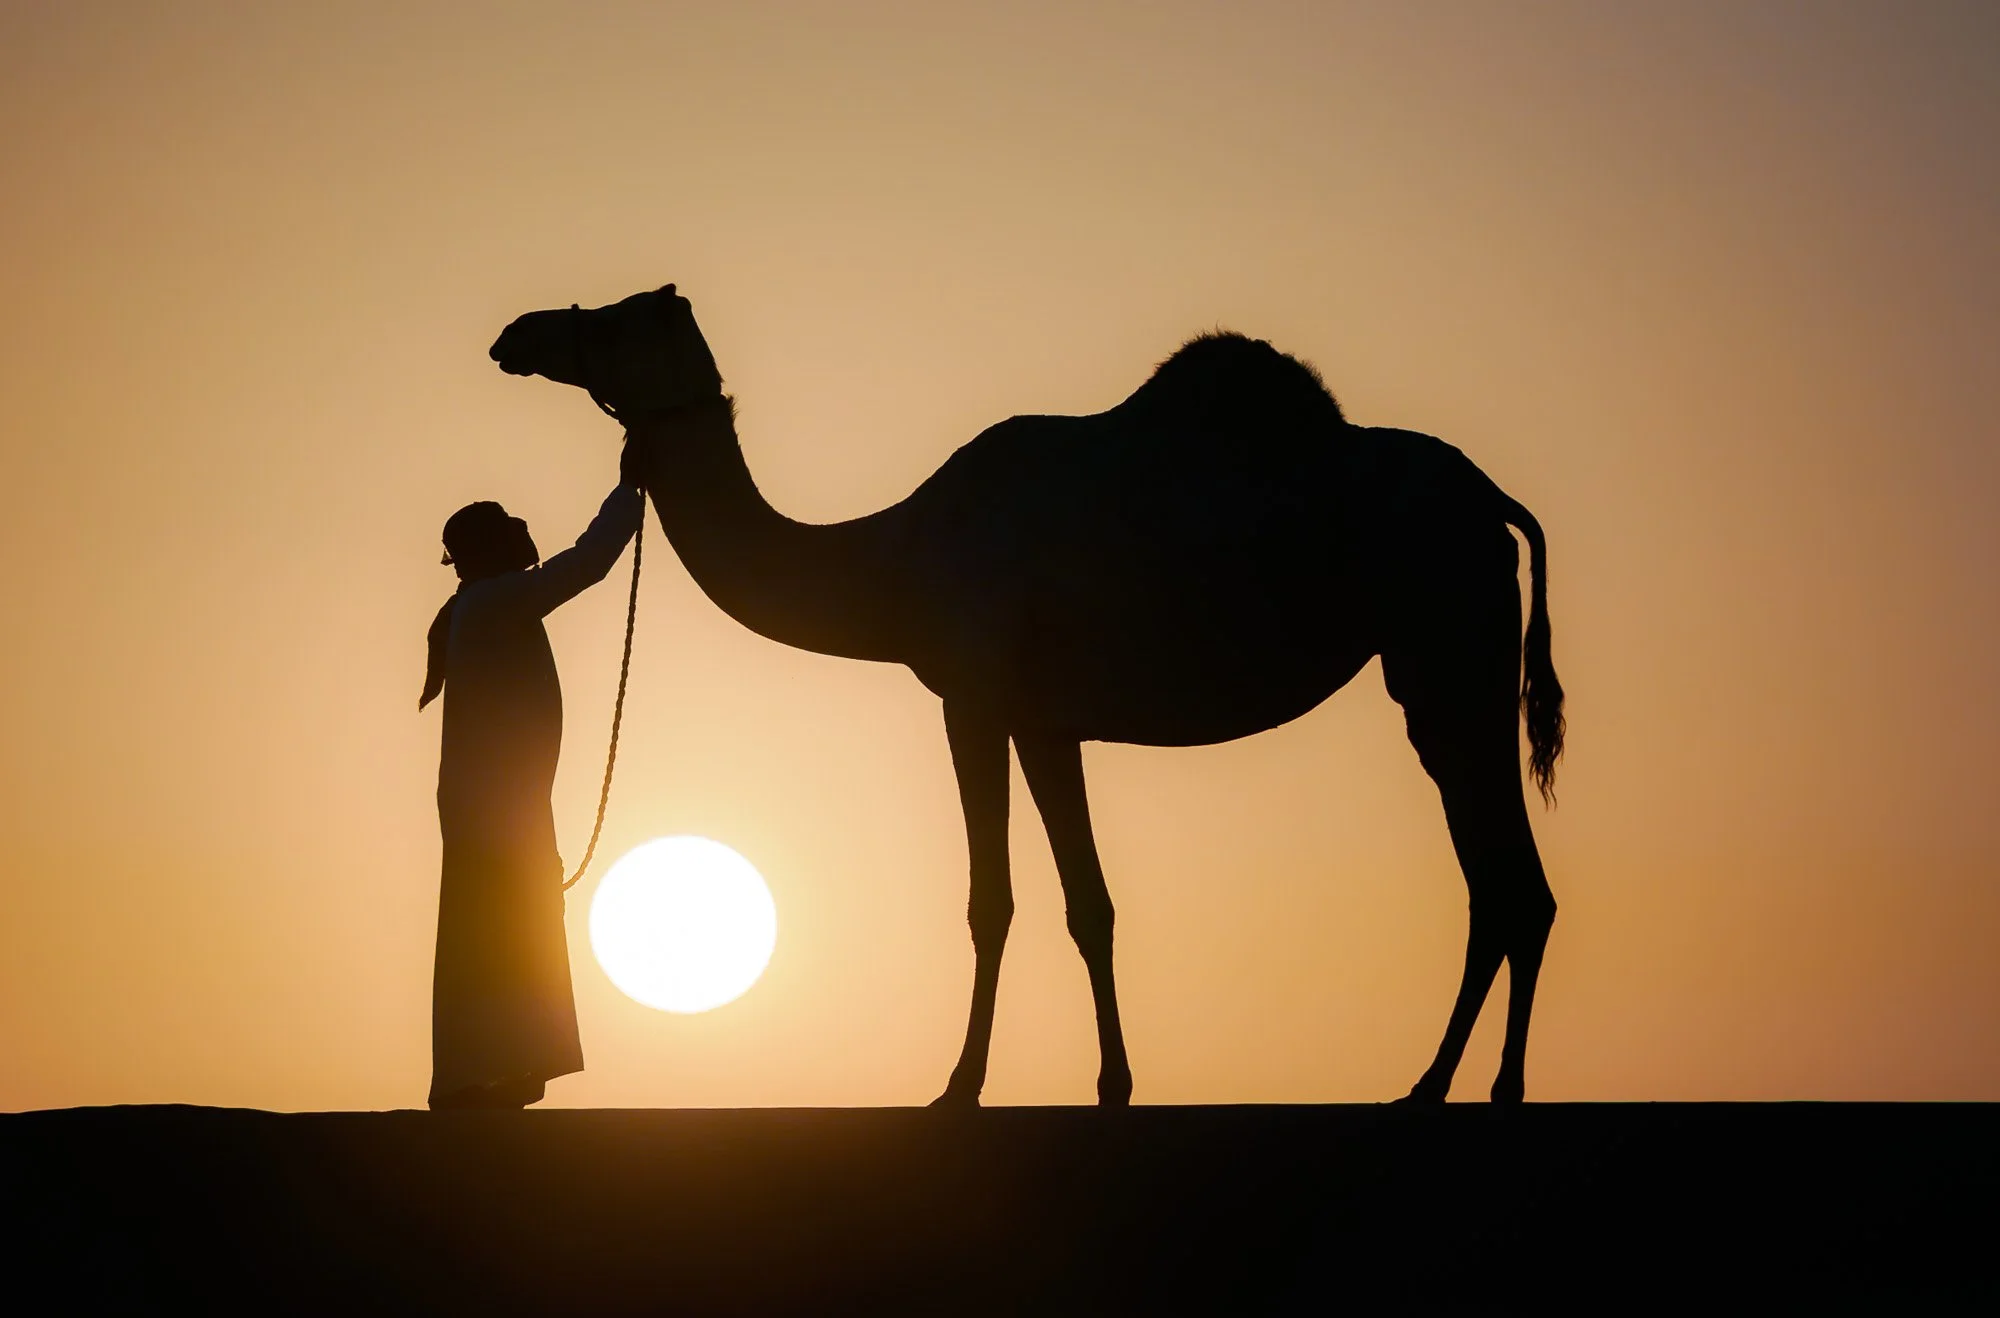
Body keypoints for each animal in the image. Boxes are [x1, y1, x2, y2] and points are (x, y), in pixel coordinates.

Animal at [489, 285, 1565, 1105]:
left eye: (617, 317)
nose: (518, 334)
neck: (893, 559)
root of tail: (1495, 499)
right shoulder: (1046, 723)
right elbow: (1090, 904)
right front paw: (1113, 1086)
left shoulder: (968, 698)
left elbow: (991, 901)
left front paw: (957, 1087)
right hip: (1447, 659)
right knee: (1503, 880)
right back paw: (1451, 1086)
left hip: (1448, 648)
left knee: (1508, 879)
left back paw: (1464, 1089)